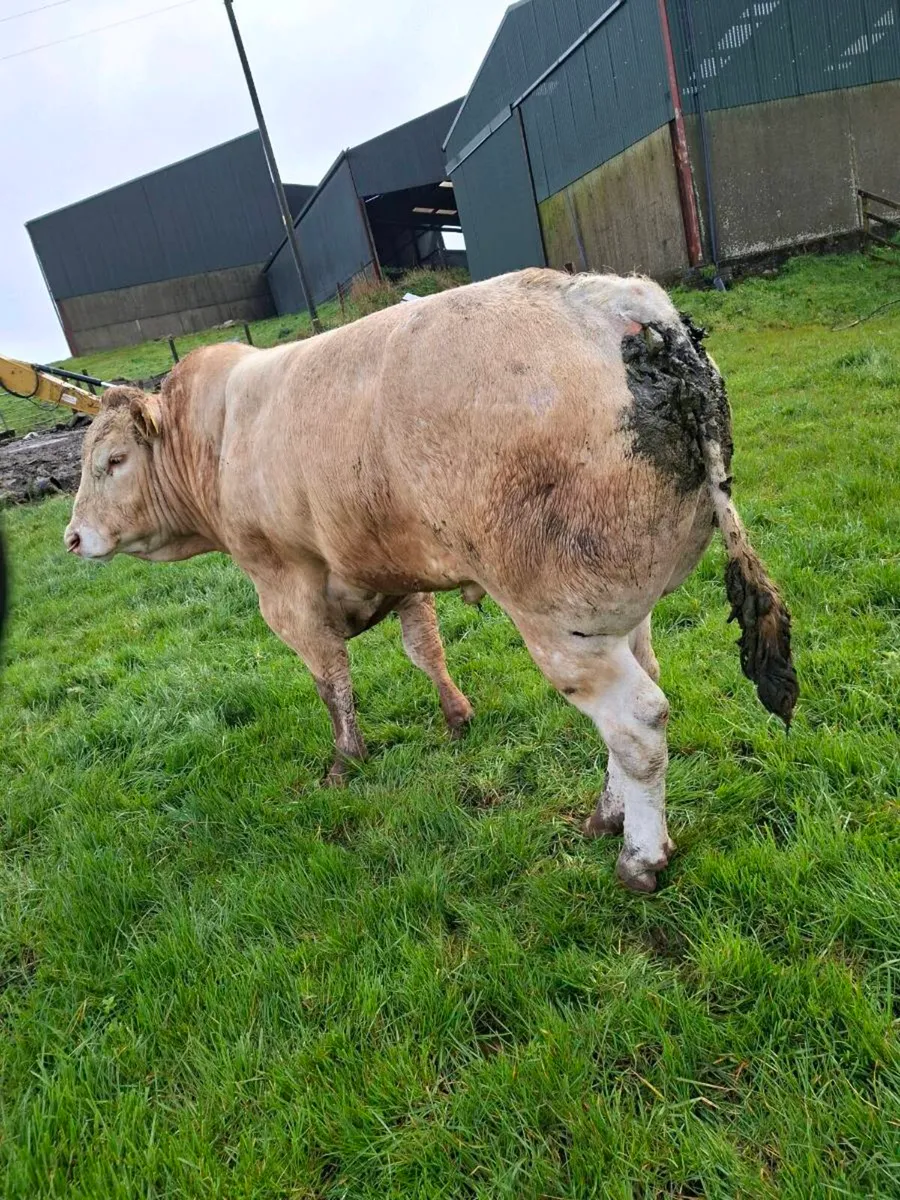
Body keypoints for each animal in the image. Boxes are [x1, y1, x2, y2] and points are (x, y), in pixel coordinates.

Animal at [65, 269, 797, 893]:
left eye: (113, 460)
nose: (72, 537)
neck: (212, 439)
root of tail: (620, 302)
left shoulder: (284, 585)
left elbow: (331, 679)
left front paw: (345, 761)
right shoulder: (393, 563)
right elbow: (424, 648)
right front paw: (454, 716)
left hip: (560, 620)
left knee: (638, 723)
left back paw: (640, 857)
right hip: (618, 606)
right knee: (639, 697)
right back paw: (607, 814)